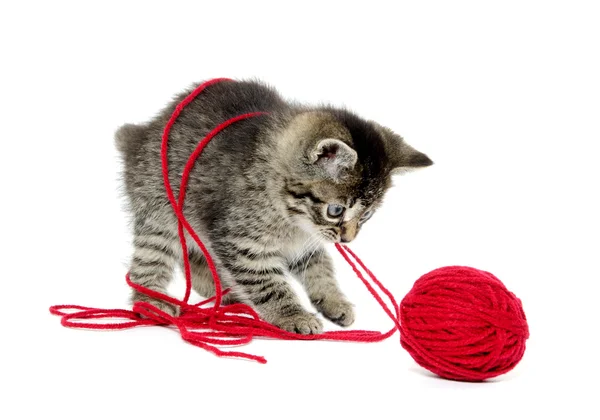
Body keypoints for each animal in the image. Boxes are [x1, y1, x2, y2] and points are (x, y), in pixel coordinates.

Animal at [115, 79, 432, 334]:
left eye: (366, 215)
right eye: (336, 211)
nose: (348, 239)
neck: (290, 217)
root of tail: (143, 134)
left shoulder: (306, 242)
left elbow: (320, 267)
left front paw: (333, 300)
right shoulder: (242, 242)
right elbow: (268, 284)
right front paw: (292, 315)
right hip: (160, 213)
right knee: (151, 260)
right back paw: (152, 301)